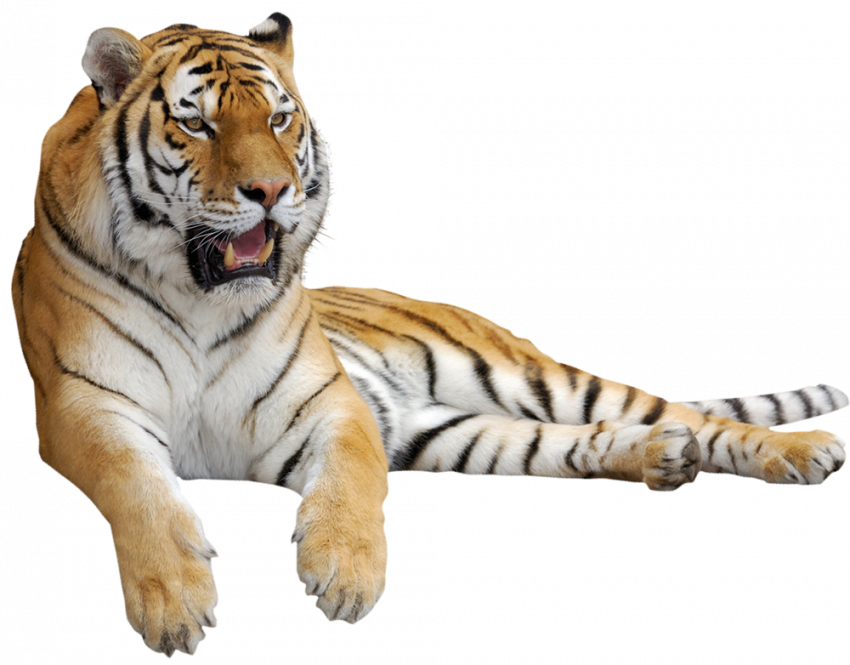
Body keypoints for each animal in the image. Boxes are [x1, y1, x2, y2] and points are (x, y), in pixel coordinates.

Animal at [10, 13, 848, 658]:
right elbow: (140, 488)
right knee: (584, 441)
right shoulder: (84, 406)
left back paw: (805, 450)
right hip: (452, 430)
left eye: (278, 118)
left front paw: (345, 574)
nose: (273, 191)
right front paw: (175, 605)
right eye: (196, 122)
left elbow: (352, 478)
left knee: (686, 413)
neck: (199, 297)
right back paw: (661, 458)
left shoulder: (330, 400)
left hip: (530, 377)